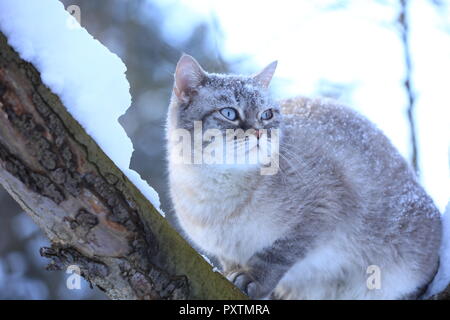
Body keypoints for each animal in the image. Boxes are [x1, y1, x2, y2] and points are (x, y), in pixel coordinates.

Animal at [166, 53, 442, 298]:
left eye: (267, 115)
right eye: (229, 113)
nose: (259, 133)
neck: (215, 193)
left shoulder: (319, 212)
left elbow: (273, 257)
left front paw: (253, 280)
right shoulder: (226, 253)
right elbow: (232, 266)